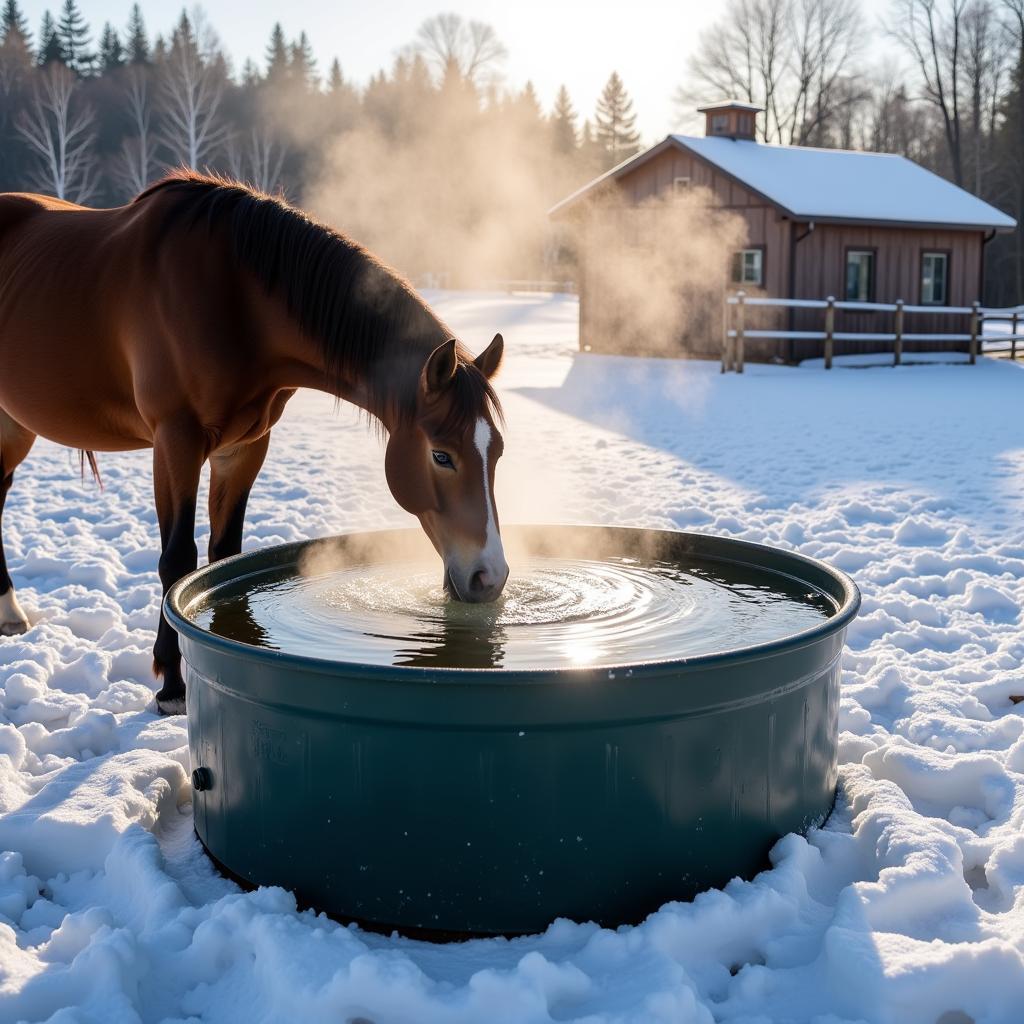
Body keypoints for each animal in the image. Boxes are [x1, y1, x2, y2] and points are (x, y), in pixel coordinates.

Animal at [0, 172, 509, 712]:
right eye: (441, 455)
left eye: (497, 452)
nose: (490, 577)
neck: (233, 297)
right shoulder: (175, 441)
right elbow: (176, 559)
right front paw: (172, 684)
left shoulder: (243, 448)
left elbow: (223, 557)